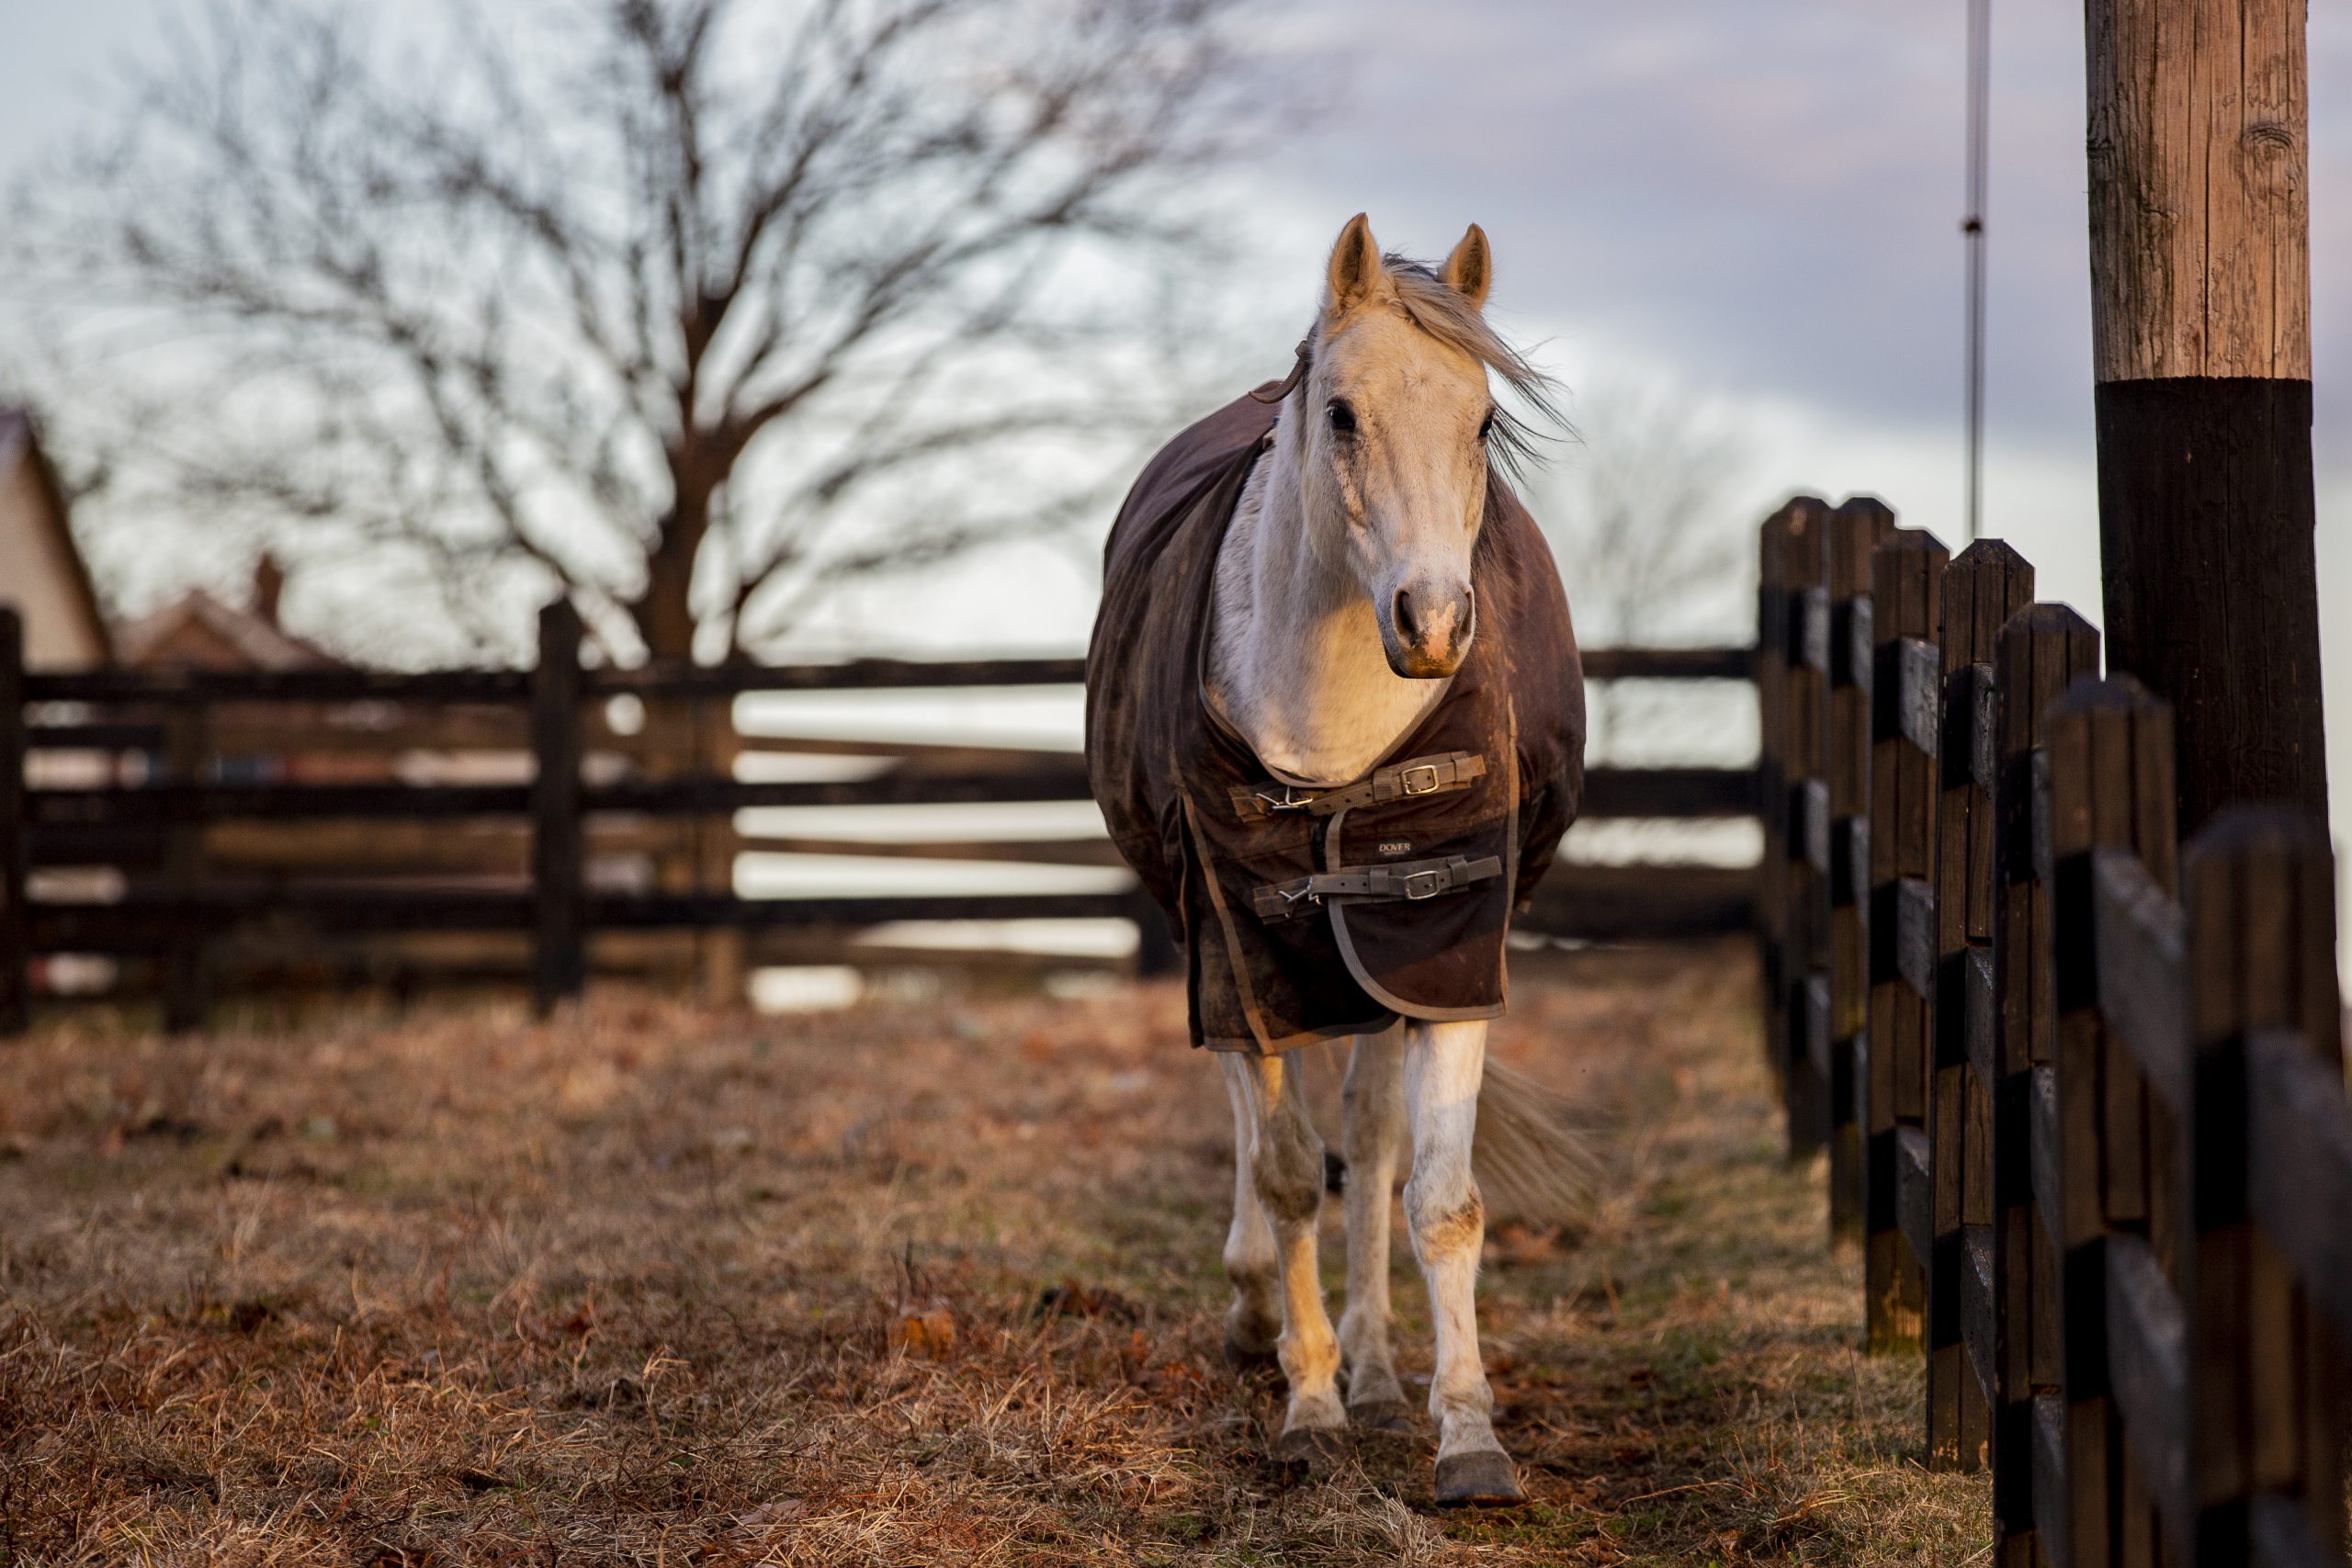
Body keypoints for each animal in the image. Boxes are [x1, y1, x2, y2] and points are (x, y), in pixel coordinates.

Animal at [1091, 215, 1589, 1504]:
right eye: (1343, 415)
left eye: (1481, 423)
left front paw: (1464, 1435)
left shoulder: (1444, 955)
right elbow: (1279, 1173)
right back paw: (1265, 1322)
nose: (1434, 623)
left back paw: (1372, 1369)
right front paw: (1306, 1409)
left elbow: (1437, 1197)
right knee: (1265, 1145)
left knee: (1365, 1151)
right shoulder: (1242, 960)